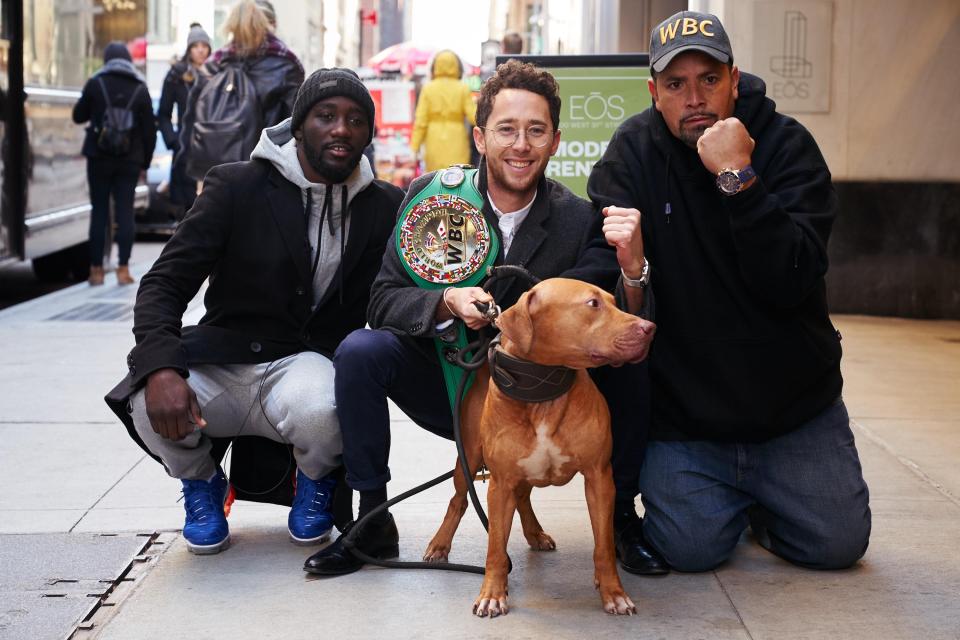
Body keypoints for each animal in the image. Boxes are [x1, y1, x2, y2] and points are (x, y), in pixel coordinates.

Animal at [426, 278, 656, 616]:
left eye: (615, 302)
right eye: (592, 304)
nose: (649, 327)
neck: (544, 391)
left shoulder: (599, 478)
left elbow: (603, 545)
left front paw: (613, 592)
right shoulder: (500, 484)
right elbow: (495, 547)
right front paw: (492, 594)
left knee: (523, 497)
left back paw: (535, 532)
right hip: (468, 457)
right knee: (458, 499)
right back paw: (440, 544)